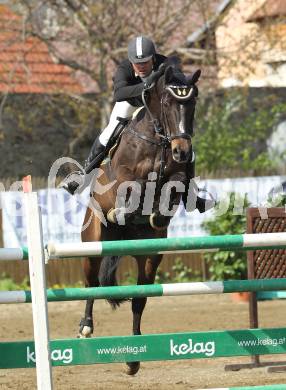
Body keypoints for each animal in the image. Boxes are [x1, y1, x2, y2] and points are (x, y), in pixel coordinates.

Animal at [79, 63, 200, 374]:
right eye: (168, 103)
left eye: (192, 103)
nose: (182, 150)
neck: (158, 138)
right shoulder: (123, 177)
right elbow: (134, 187)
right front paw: (124, 209)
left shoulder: (177, 174)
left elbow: (175, 184)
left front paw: (158, 213)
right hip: (93, 244)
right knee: (91, 282)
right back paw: (85, 326)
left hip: (149, 256)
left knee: (139, 300)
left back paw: (133, 358)